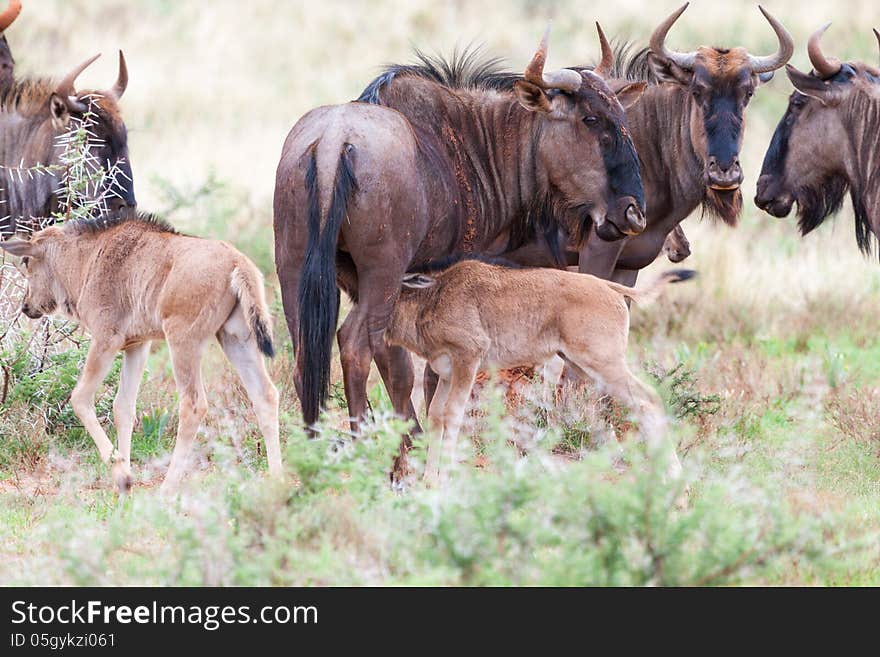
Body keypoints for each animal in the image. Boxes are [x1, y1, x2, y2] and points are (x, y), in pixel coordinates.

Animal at [0, 213, 280, 494]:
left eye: (27, 262)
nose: (26, 306)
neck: (87, 257)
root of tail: (237, 262)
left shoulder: (106, 340)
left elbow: (80, 398)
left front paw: (121, 472)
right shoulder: (137, 346)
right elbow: (123, 406)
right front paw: (124, 484)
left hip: (183, 341)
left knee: (193, 405)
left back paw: (167, 488)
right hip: (236, 340)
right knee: (265, 395)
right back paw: (278, 479)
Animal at [384, 258, 696, 490]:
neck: (432, 297)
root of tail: (610, 288)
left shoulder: (467, 362)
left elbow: (452, 415)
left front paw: (442, 480)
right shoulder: (447, 374)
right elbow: (437, 415)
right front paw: (428, 479)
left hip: (605, 365)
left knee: (648, 400)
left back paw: (674, 477)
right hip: (584, 366)